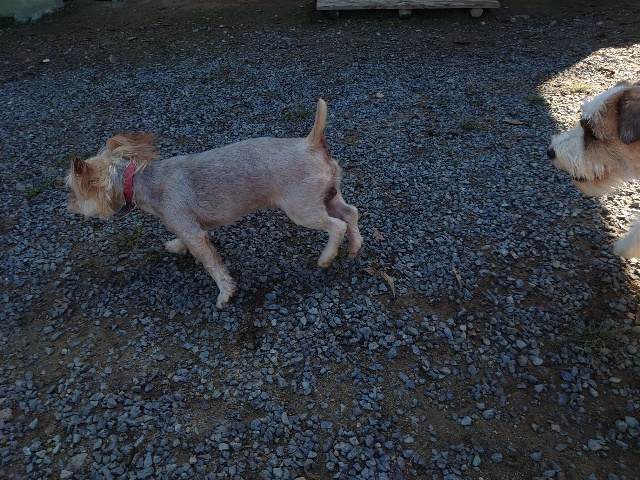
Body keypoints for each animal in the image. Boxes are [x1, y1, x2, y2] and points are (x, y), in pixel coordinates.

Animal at [67, 99, 363, 308]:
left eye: (73, 191)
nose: (69, 206)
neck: (140, 181)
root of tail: (311, 142)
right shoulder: (190, 226)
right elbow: (185, 240)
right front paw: (176, 246)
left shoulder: (193, 232)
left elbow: (212, 266)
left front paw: (224, 294)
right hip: (328, 195)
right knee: (351, 213)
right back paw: (355, 246)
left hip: (302, 209)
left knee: (336, 225)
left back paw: (326, 257)